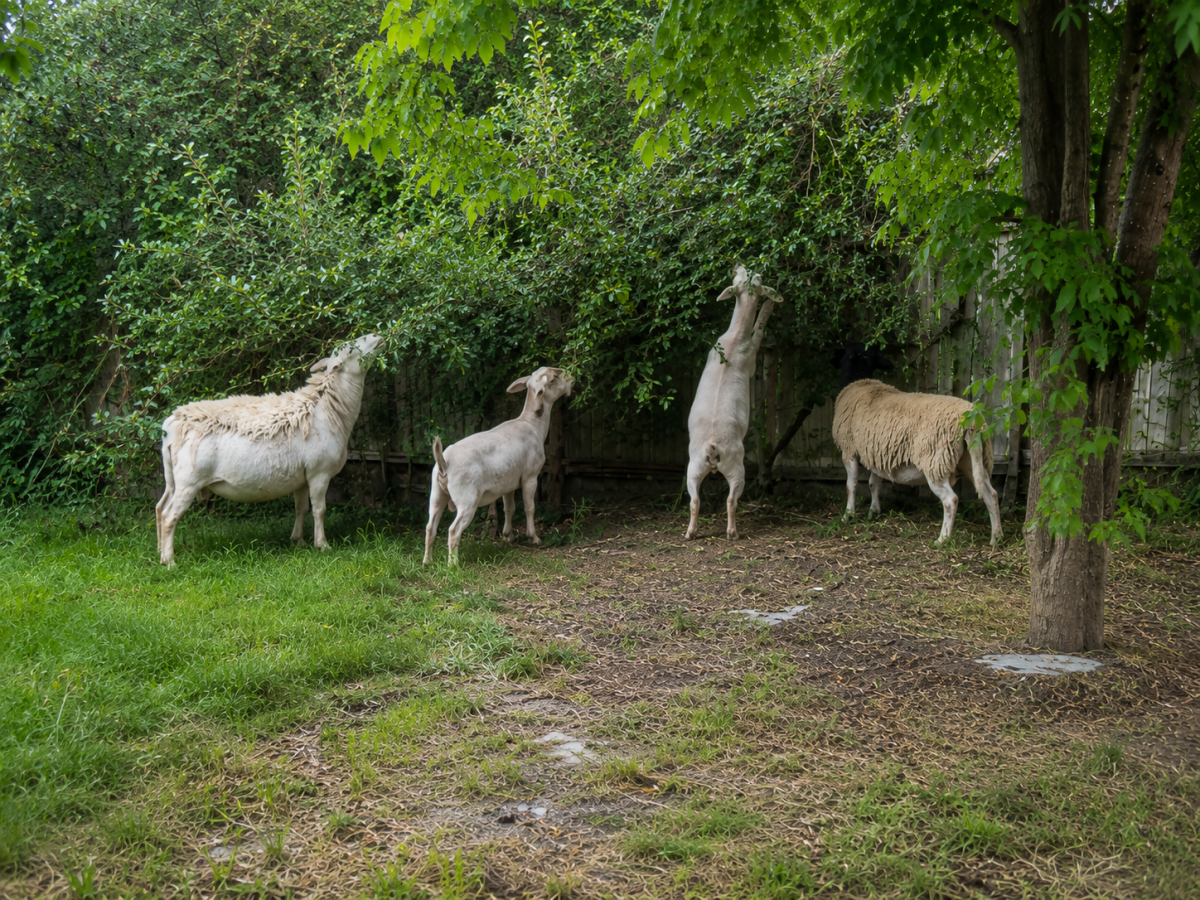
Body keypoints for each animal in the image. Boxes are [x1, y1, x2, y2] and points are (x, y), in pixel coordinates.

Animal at [155, 333, 386, 567]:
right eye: (350, 350)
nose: (377, 335)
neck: (328, 408)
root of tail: (171, 426)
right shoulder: (319, 472)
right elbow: (320, 510)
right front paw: (322, 545)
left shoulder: (302, 477)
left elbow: (301, 509)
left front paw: (298, 541)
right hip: (189, 480)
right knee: (169, 515)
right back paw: (170, 562)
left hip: (173, 477)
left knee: (159, 507)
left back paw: (160, 552)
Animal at [423, 366, 574, 566]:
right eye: (553, 379)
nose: (571, 377)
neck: (532, 425)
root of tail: (444, 463)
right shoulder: (530, 476)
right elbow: (529, 507)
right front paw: (533, 538)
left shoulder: (508, 483)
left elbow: (509, 508)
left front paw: (508, 536)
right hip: (466, 499)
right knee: (453, 530)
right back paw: (453, 566)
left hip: (437, 494)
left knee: (430, 527)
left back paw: (427, 562)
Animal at [685, 265, 783, 540]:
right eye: (753, 274)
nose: (737, 265)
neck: (734, 341)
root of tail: (712, 448)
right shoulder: (751, 358)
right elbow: (758, 332)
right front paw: (768, 306)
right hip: (737, 468)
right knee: (731, 500)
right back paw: (732, 532)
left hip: (693, 468)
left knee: (694, 500)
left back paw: (690, 532)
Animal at [832, 378, 1002, 546]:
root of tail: (972, 421)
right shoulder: (877, 456)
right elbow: (874, 484)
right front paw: (874, 511)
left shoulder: (849, 451)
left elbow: (851, 486)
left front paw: (848, 516)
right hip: (972, 461)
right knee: (991, 495)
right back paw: (996, 538)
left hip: (935, 462)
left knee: (951, 500)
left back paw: (942, 540)